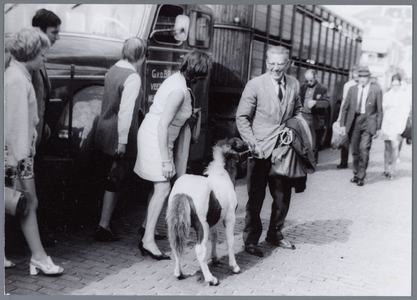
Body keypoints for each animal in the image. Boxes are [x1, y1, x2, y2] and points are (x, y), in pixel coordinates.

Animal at [166, 138, 250, 286]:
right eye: (241, 145)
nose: (253, 149)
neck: (223, 176)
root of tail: (183, 193)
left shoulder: (213, 220)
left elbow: (215, 236)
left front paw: (215, 258)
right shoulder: (229, 217)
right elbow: (230, 240)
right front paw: (234, 267)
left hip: (177, 224)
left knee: (176, 244)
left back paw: (179, 273)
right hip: (201, 226)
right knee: (200, 250)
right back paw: (211, 279)